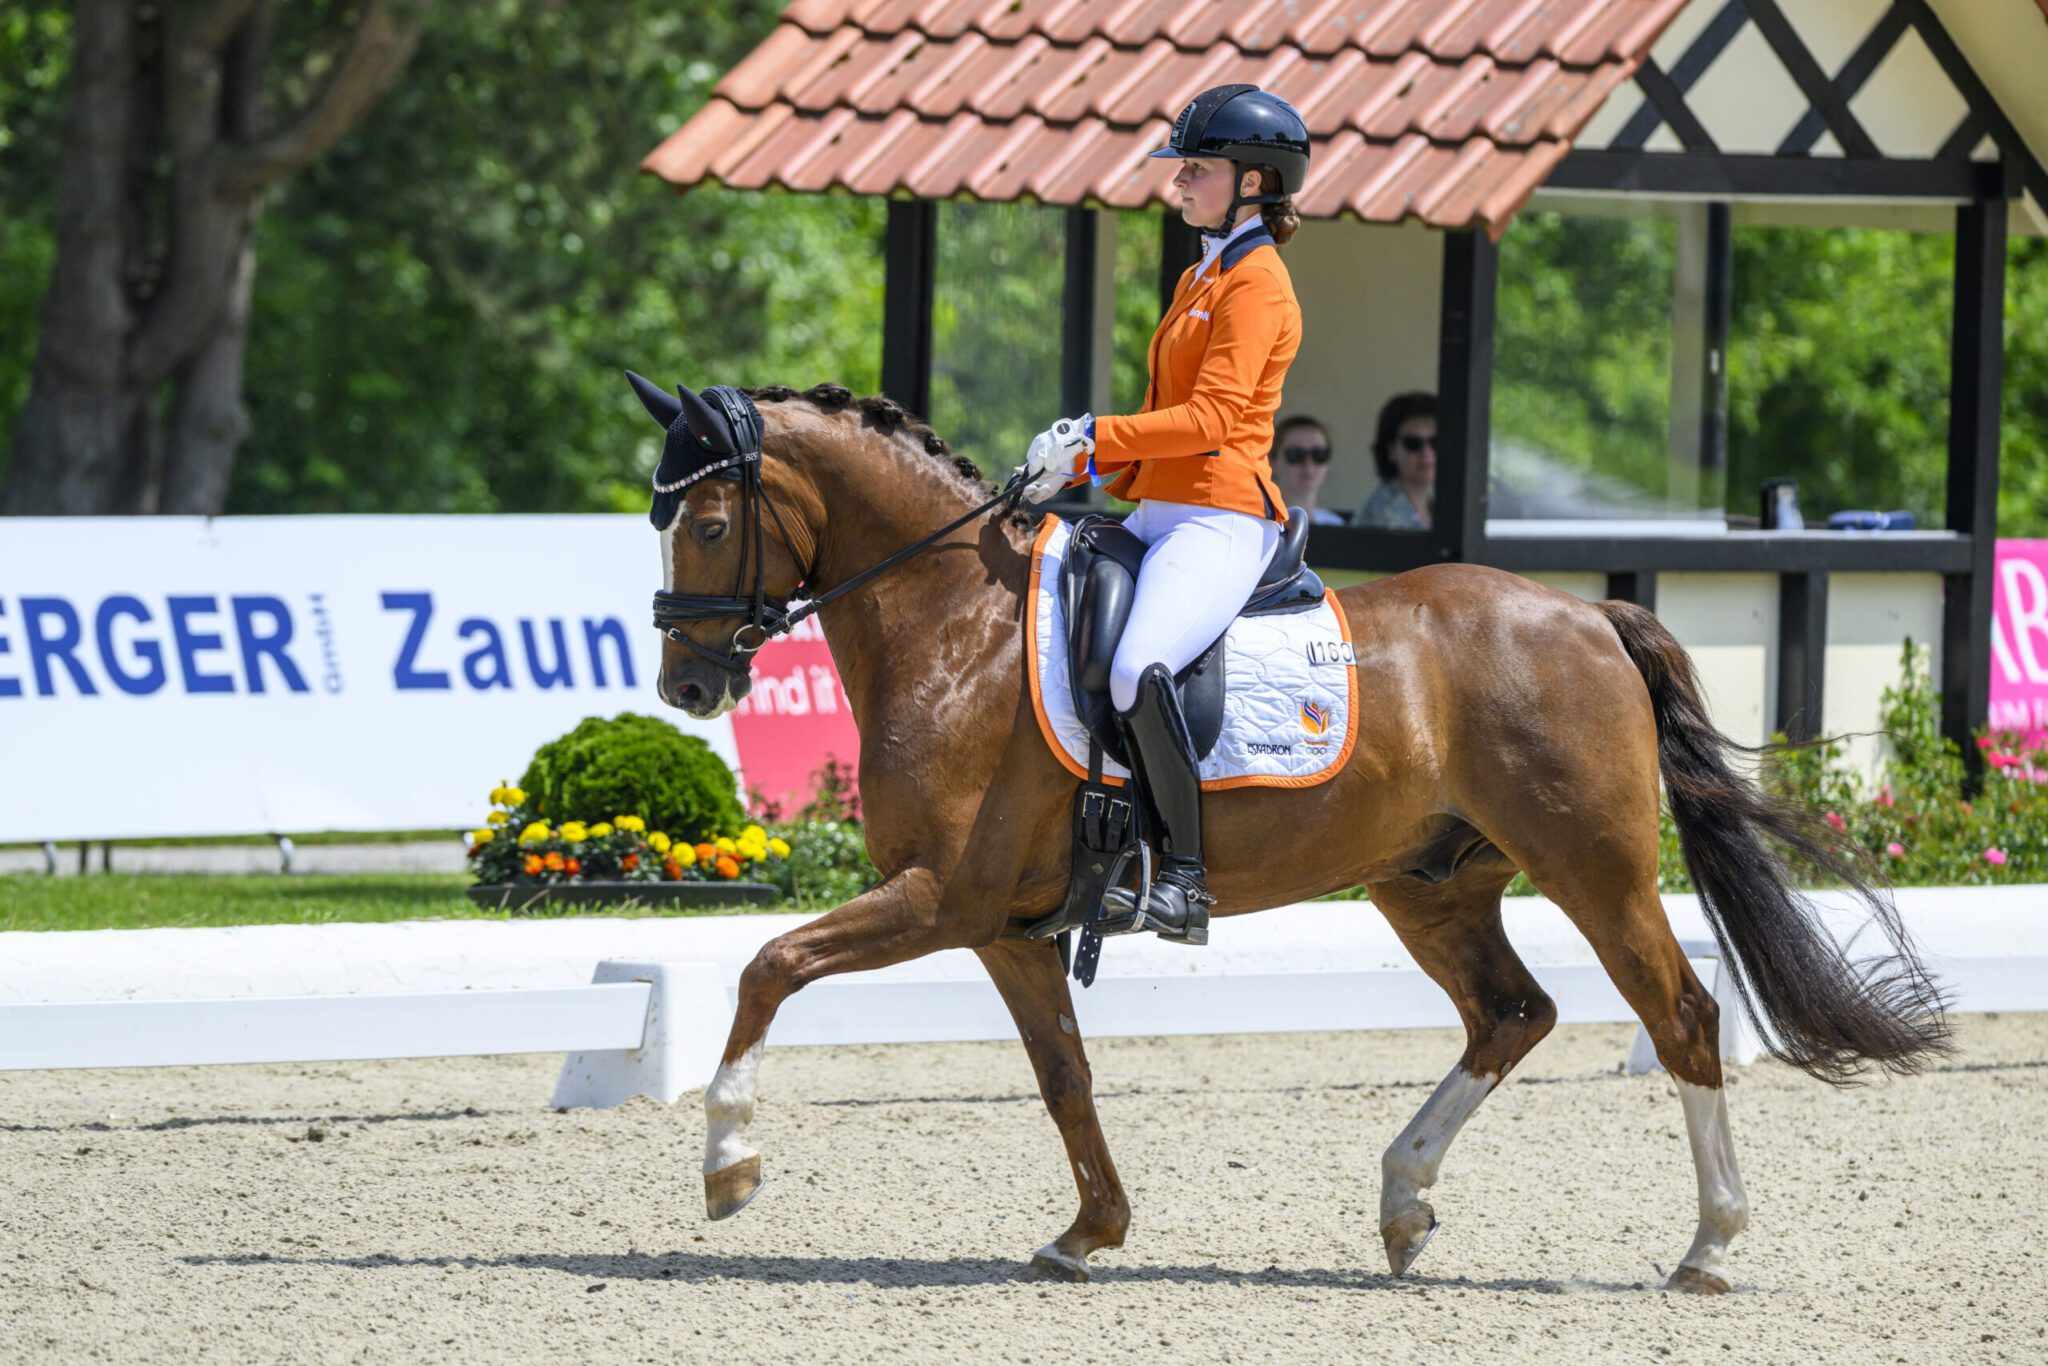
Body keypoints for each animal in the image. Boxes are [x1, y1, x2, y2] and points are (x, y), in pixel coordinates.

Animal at [629, 376, 1948, 1294]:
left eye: (706, 524)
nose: (685, 687)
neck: (957, 621)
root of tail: (1589, 614)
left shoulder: (941, 894)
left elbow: (769, 966)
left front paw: (728, 1163)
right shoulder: (1004, 924)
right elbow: (1063, 1074)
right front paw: (1088, 1230)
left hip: (1593, 865)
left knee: (1678, 1016)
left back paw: (1708, 1247)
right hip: (1427, 884)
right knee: (1509, 1013)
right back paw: (1403, 1202)